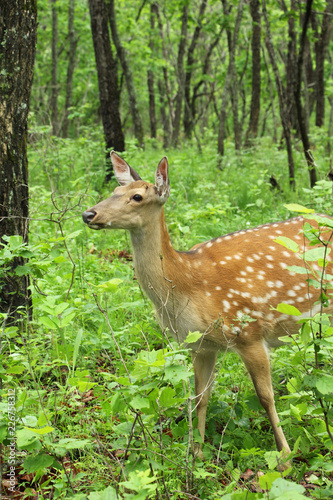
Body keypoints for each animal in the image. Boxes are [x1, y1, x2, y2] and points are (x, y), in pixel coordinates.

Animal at [82, 152, 332, 460]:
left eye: (137, 197)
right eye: (114, 192)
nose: (89, 214)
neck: (187, 283)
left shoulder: (249, 331)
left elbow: (266, 397)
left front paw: (284, 456)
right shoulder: (200, 345)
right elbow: (200, 397)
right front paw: (198, 453)